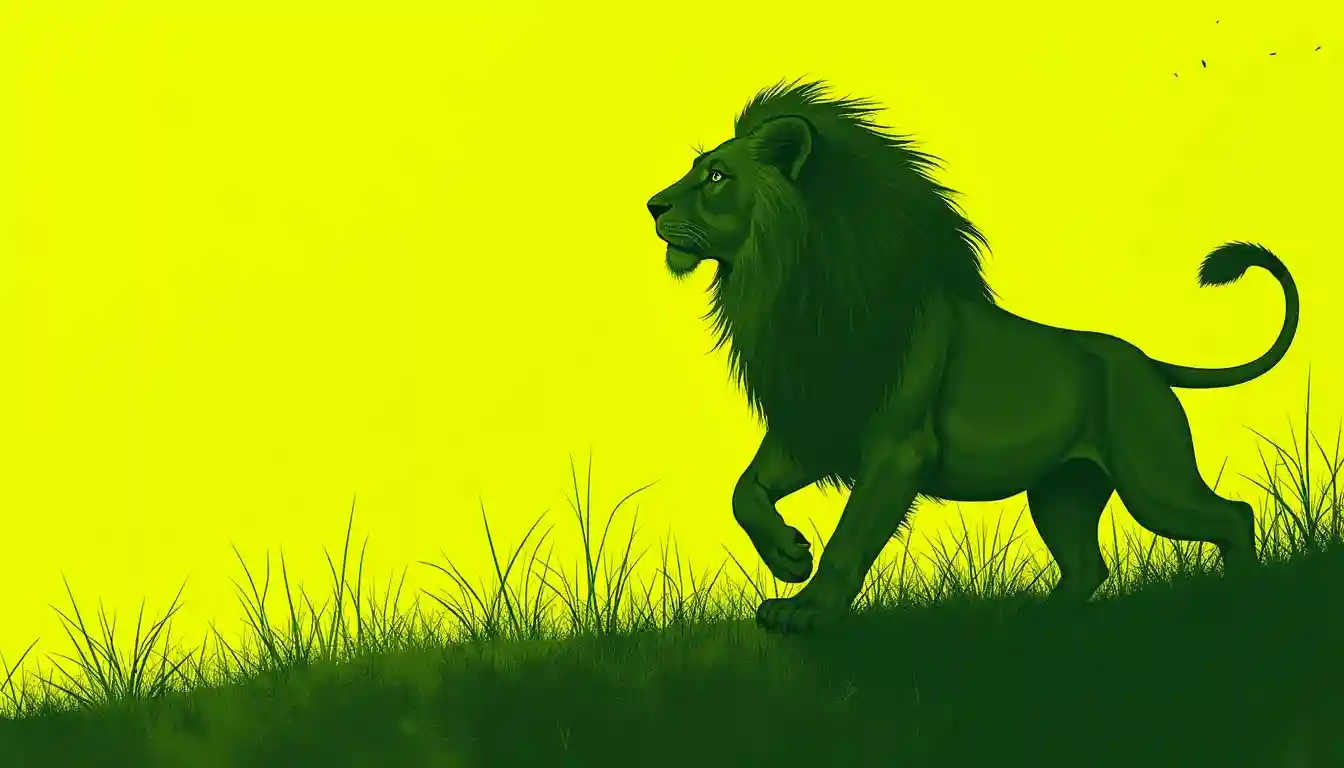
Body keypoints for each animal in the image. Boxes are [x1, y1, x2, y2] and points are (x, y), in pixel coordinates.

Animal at [645, 79, 1299, 634]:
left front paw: (807, 610)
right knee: (1088, 566)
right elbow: (744, 491)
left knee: (1233, 516)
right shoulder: (818, 421)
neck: (786, 284)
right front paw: (787, 556)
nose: (652, 206)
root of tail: (1147, 363)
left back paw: (1245, 599)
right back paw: (1033, 623)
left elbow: (849, 539)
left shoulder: (897, 448)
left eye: (716, 176)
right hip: (1062, 489)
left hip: (1152, 478)